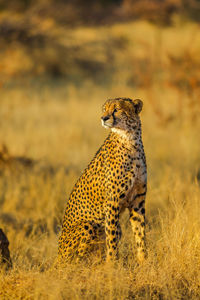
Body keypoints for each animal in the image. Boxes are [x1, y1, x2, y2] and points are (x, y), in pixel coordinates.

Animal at [57, 98, 147, 262]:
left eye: (117, 109)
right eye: (104, 109)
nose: (103, 118)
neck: (130, 139)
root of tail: (57, 257)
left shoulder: (138, 200)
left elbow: (140, 233)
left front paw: (145, 261)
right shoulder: (112, 202)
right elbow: (111, 239)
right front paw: (112, 264)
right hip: (87, 226)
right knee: (76, 261)